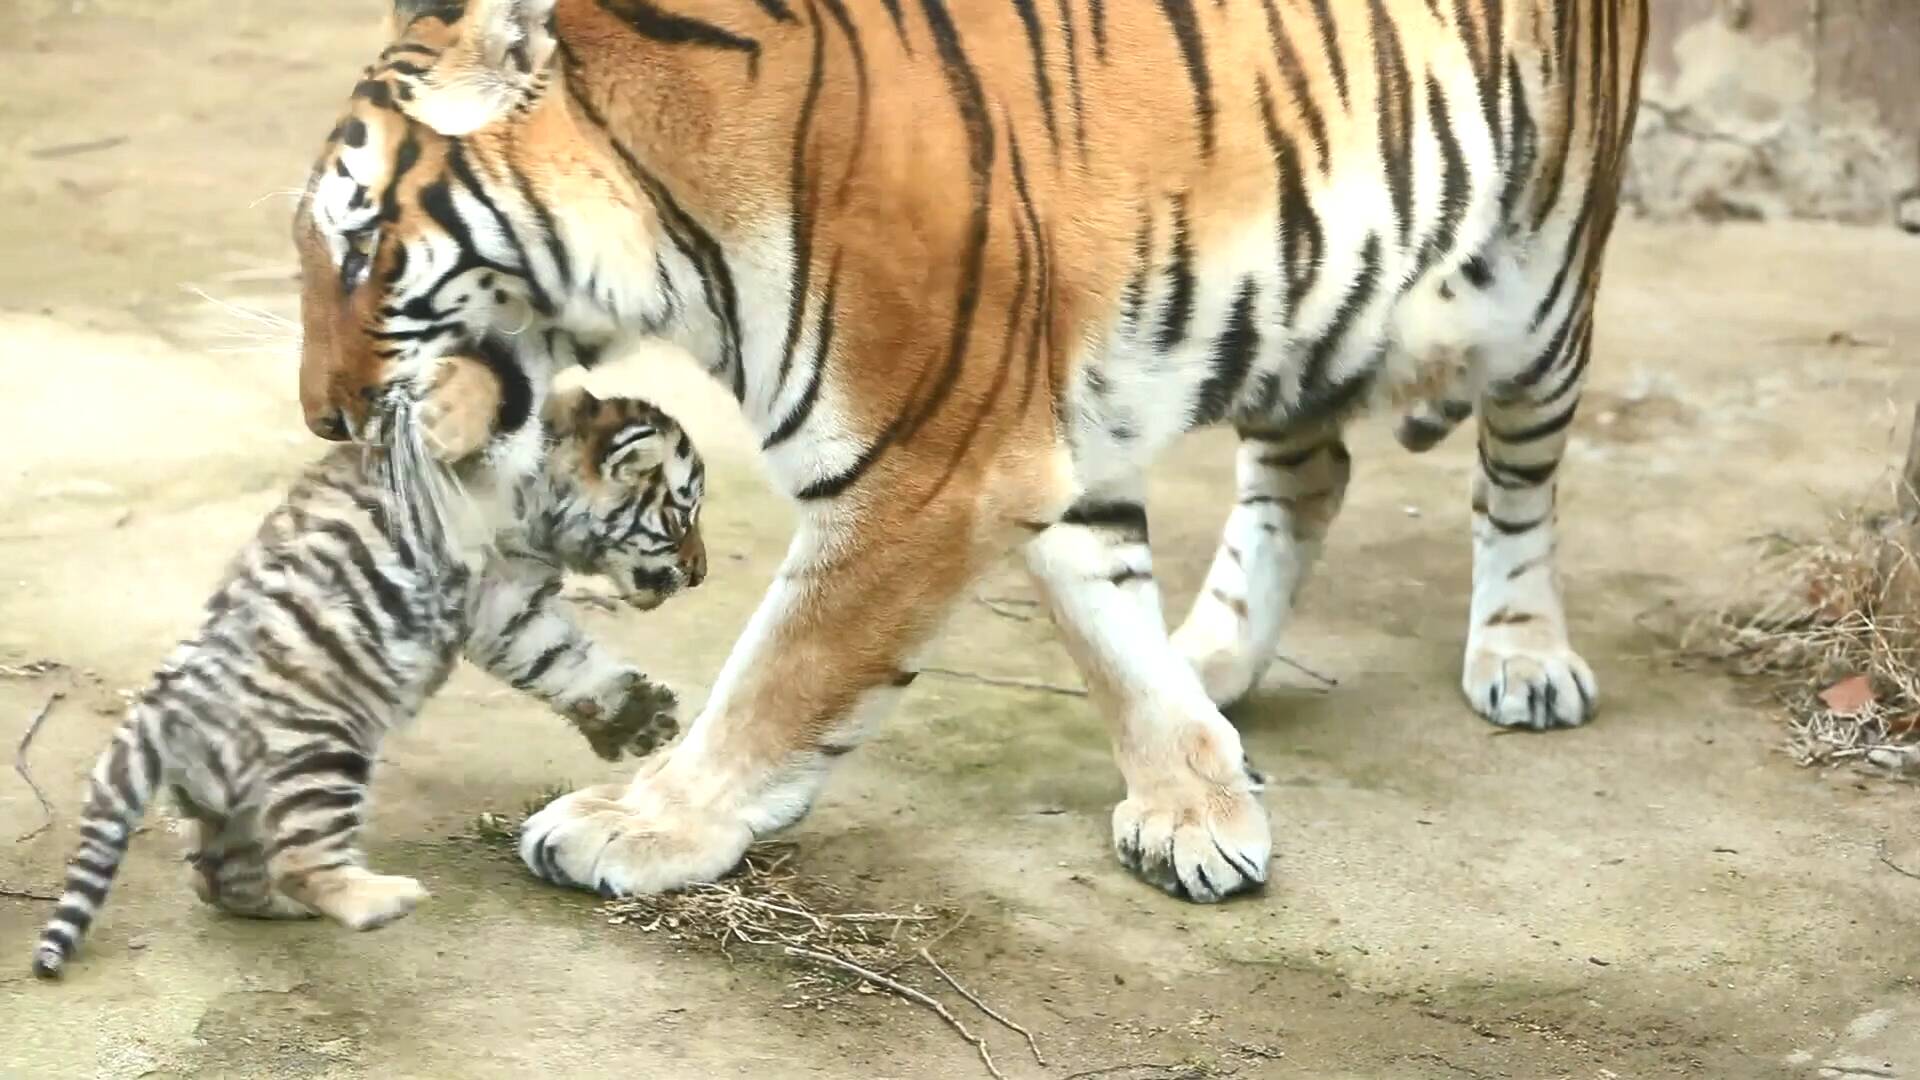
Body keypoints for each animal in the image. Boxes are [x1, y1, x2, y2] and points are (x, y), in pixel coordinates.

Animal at [295, 0, 1651, 899]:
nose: (325, 416)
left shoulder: (928, 468)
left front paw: (643, 824)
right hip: (1308, 297)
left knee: (1517, 486)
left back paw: (1524, 658)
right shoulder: (1035, 441)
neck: (672, 221)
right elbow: (1111, 635)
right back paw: (1214, 653)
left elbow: (778, 674)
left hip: (1539, 284)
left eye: (359, 245)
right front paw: (1198, 806)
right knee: (1308, 472)